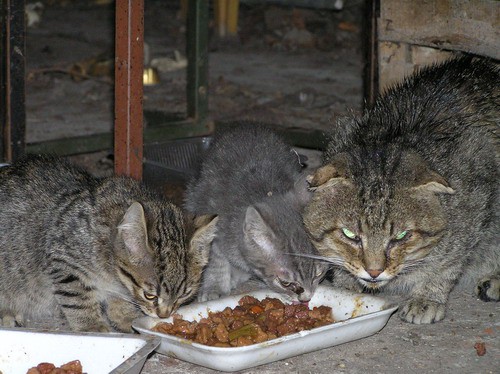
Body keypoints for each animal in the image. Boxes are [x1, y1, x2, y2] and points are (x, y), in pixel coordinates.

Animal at [0, 153, 219, 332]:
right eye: (149, 295)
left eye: (184, 294)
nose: (164, 315)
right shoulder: (64, 261)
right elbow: (78, 298)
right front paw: (91, 325)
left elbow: (121, 302)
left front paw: (127, 318)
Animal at [184, 124, 328, 302]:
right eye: (285, 283)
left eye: (319, 274)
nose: (306, 299)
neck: (268, 191)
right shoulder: (211, 223)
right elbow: (215, 260)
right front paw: (214, 287)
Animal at [302, 56, 498, 324]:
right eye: (350, 235)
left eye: (401, 236)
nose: (374, 271)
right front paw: (344, 288)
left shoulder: (476, 206)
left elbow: (447, 264)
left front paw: (427, 297)